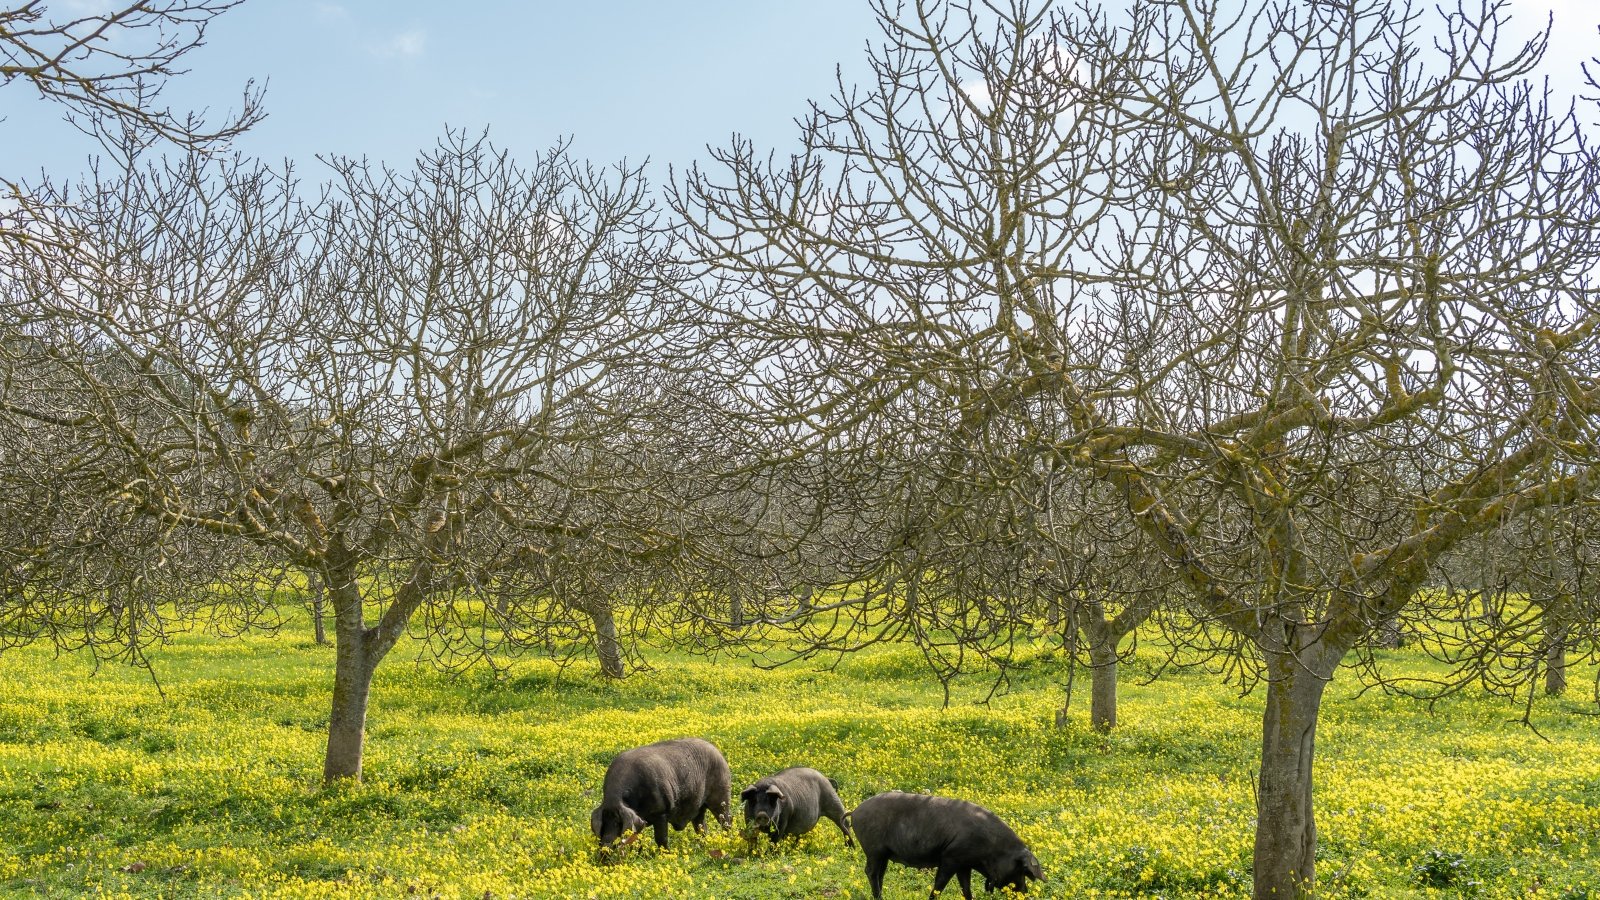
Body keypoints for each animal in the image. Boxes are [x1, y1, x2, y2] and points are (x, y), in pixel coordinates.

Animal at [590, 737, 732, 850]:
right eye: (604, 822)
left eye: (619, 823)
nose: (606, 847)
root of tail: (718, 751)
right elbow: (637, 838)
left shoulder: (661, 812)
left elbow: (661, 837)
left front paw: (665, 854)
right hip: (699, 806)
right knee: (701, 825)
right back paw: (702, 846)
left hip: (721, 795)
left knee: (726, 819)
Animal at [852, 791, 1043, 899]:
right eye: (1021, 869)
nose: (1025, 893)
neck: (992, 848)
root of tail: (855, 811)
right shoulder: (951, 857)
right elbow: (939, 885)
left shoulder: (964, 865)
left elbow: (966, 888)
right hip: (874, 848)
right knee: (871, 872)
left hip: (883, 853)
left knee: (880, 874)